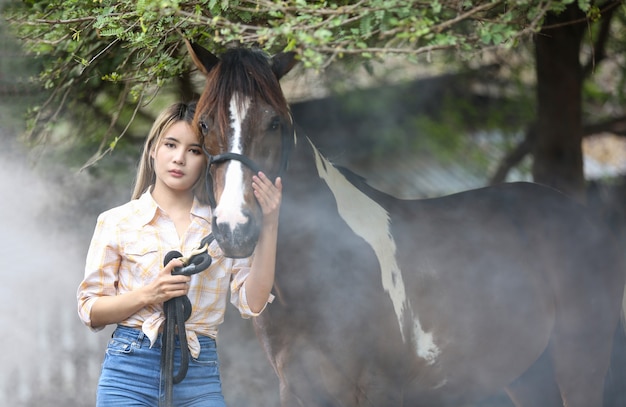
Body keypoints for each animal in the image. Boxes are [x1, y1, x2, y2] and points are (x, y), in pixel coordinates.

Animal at [185, 42, 624, 407]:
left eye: (275, 122)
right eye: (204, 124)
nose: (235, 229)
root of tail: (582, 217)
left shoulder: (379, 389)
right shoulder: (296, 391)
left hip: (579, 366)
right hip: (526, 374)